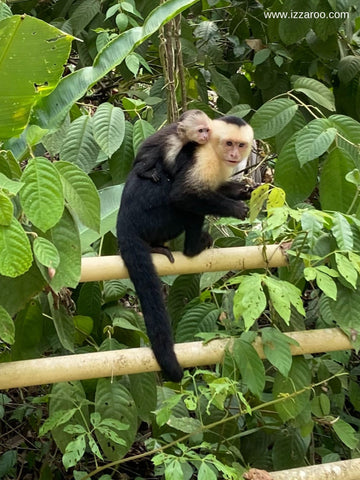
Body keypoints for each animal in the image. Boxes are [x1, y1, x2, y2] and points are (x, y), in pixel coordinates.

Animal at [117, 116, 253, 382]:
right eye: (229, 143)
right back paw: (193, 248)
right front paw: (235, 208)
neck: (214, 149)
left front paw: (243, 191)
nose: (234, 154)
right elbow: (183, 194)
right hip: (156, 219)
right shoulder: (204, 158)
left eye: (240, 145)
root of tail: (122, 221)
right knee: (185, 207)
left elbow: (215, 188)